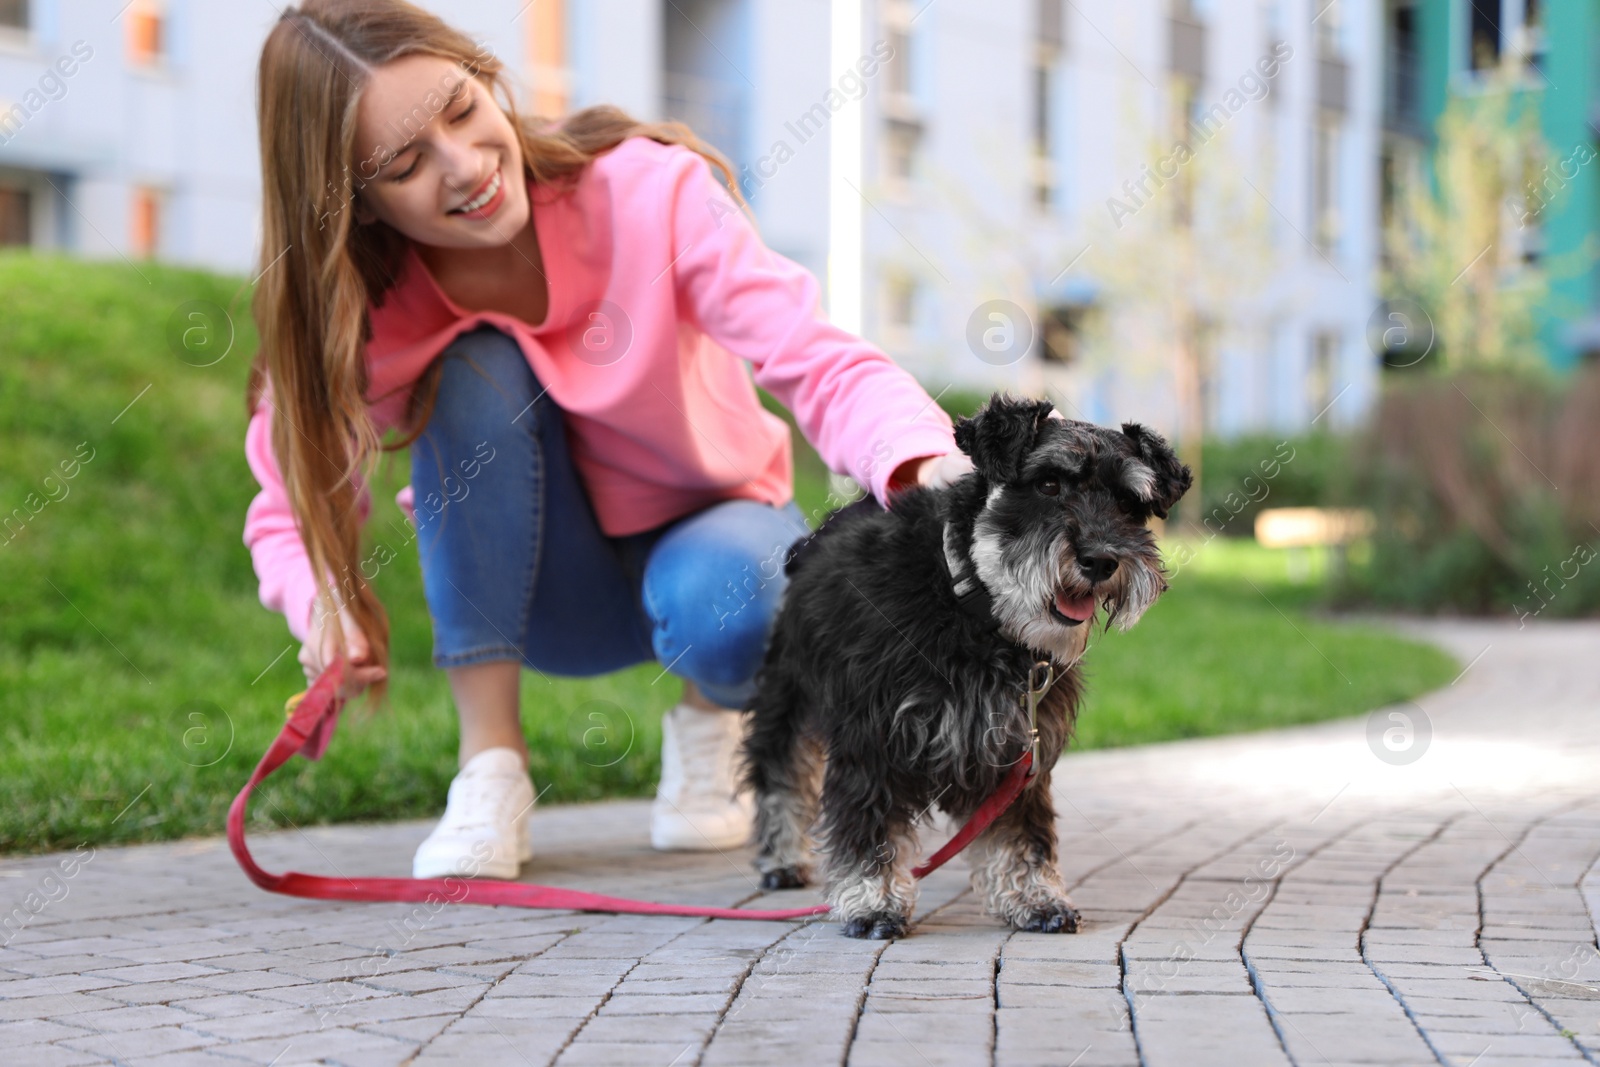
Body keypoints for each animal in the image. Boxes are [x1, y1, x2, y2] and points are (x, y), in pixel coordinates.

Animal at [736, 396, 1190, 940]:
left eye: (1129, 503)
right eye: (1049, 484)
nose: (1101, 560)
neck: (968, 600)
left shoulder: (1017, 747)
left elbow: (1022, 832)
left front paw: (1034, 896)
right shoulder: (873, 738)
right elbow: (870, 822)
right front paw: (873, 900)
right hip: (789, 696)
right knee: (781, 774)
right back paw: (782, 859)